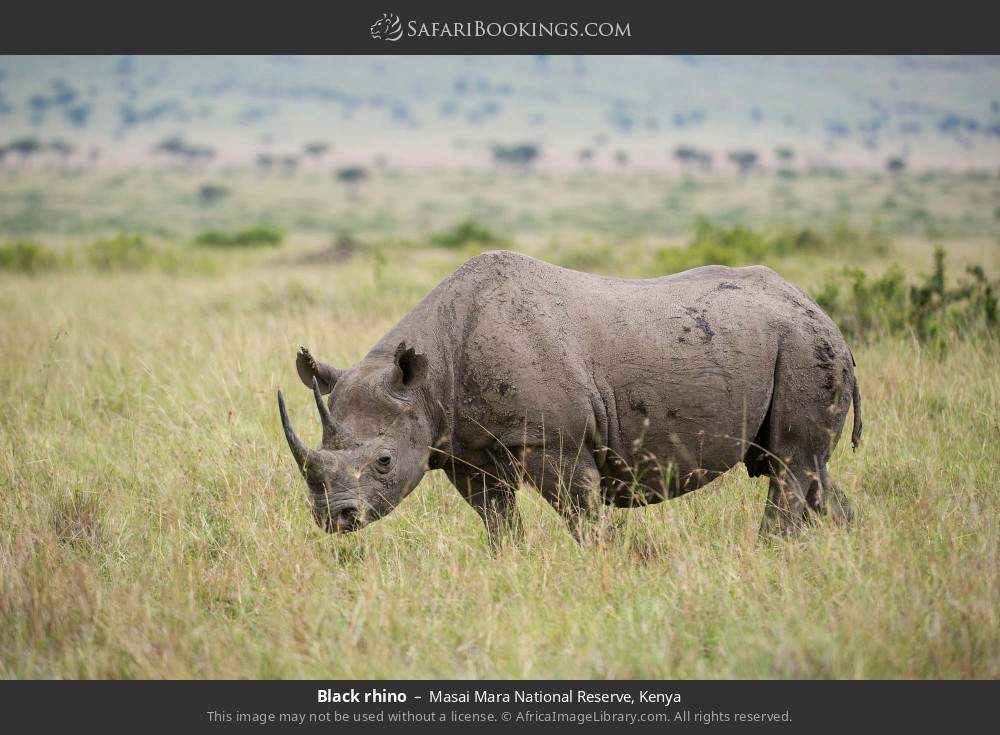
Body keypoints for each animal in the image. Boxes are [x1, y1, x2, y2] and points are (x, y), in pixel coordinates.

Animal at [278, 250, 861, 545]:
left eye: (383, 461)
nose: (336, 519)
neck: (425, 379)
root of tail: (822, 313)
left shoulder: (555, 442)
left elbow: (582, 515)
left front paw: (601, 566)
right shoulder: (464, 451)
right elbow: (497, 520)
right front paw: (510, 565)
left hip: (804, 347)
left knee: (790, 465)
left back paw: (772, 551)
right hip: (794, 344)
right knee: (810, 468)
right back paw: (837, 551)